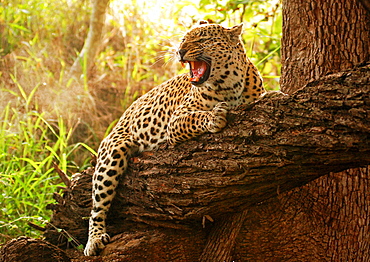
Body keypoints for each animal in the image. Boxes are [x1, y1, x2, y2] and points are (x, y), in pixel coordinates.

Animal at [83, 21, 266, 256]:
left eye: (203, 39)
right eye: (183, 40)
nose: (180, 51)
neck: (229, 85)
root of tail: (122, 116)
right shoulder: (176, 121)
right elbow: (196, 117)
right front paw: (214, 117)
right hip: (112, 152)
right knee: (97, 205)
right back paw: (94, 239)